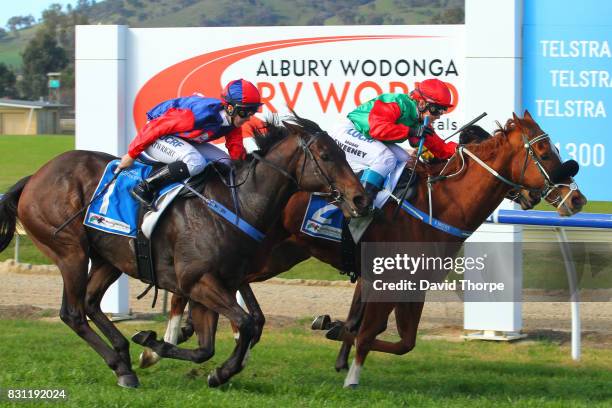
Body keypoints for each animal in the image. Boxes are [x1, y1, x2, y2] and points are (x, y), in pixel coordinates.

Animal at [0, 115, 368, 388]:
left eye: (345, 153)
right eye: (327, 156)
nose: (360, 197)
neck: (235, 203)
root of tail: (35, 176)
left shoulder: (214, 284)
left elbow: (207, 347)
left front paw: (157, 346)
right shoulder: (199, 281)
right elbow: (246, 323)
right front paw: (218, 370)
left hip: (109, 258)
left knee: (89, 303)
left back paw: (122, 357)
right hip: (70, 251)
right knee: (73, 312)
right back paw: (121, 366)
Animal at [141, 112, 584, 386]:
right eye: (543, 152)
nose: (577, 199)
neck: (440, 204)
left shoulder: (409, 282)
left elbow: (397, 340)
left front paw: (336, 331)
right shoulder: (386, 277)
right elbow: (370, 331)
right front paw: (351, 373)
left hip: (279, 253)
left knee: (224, 287)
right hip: (262, 251)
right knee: (197, 286)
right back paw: (172, 340)